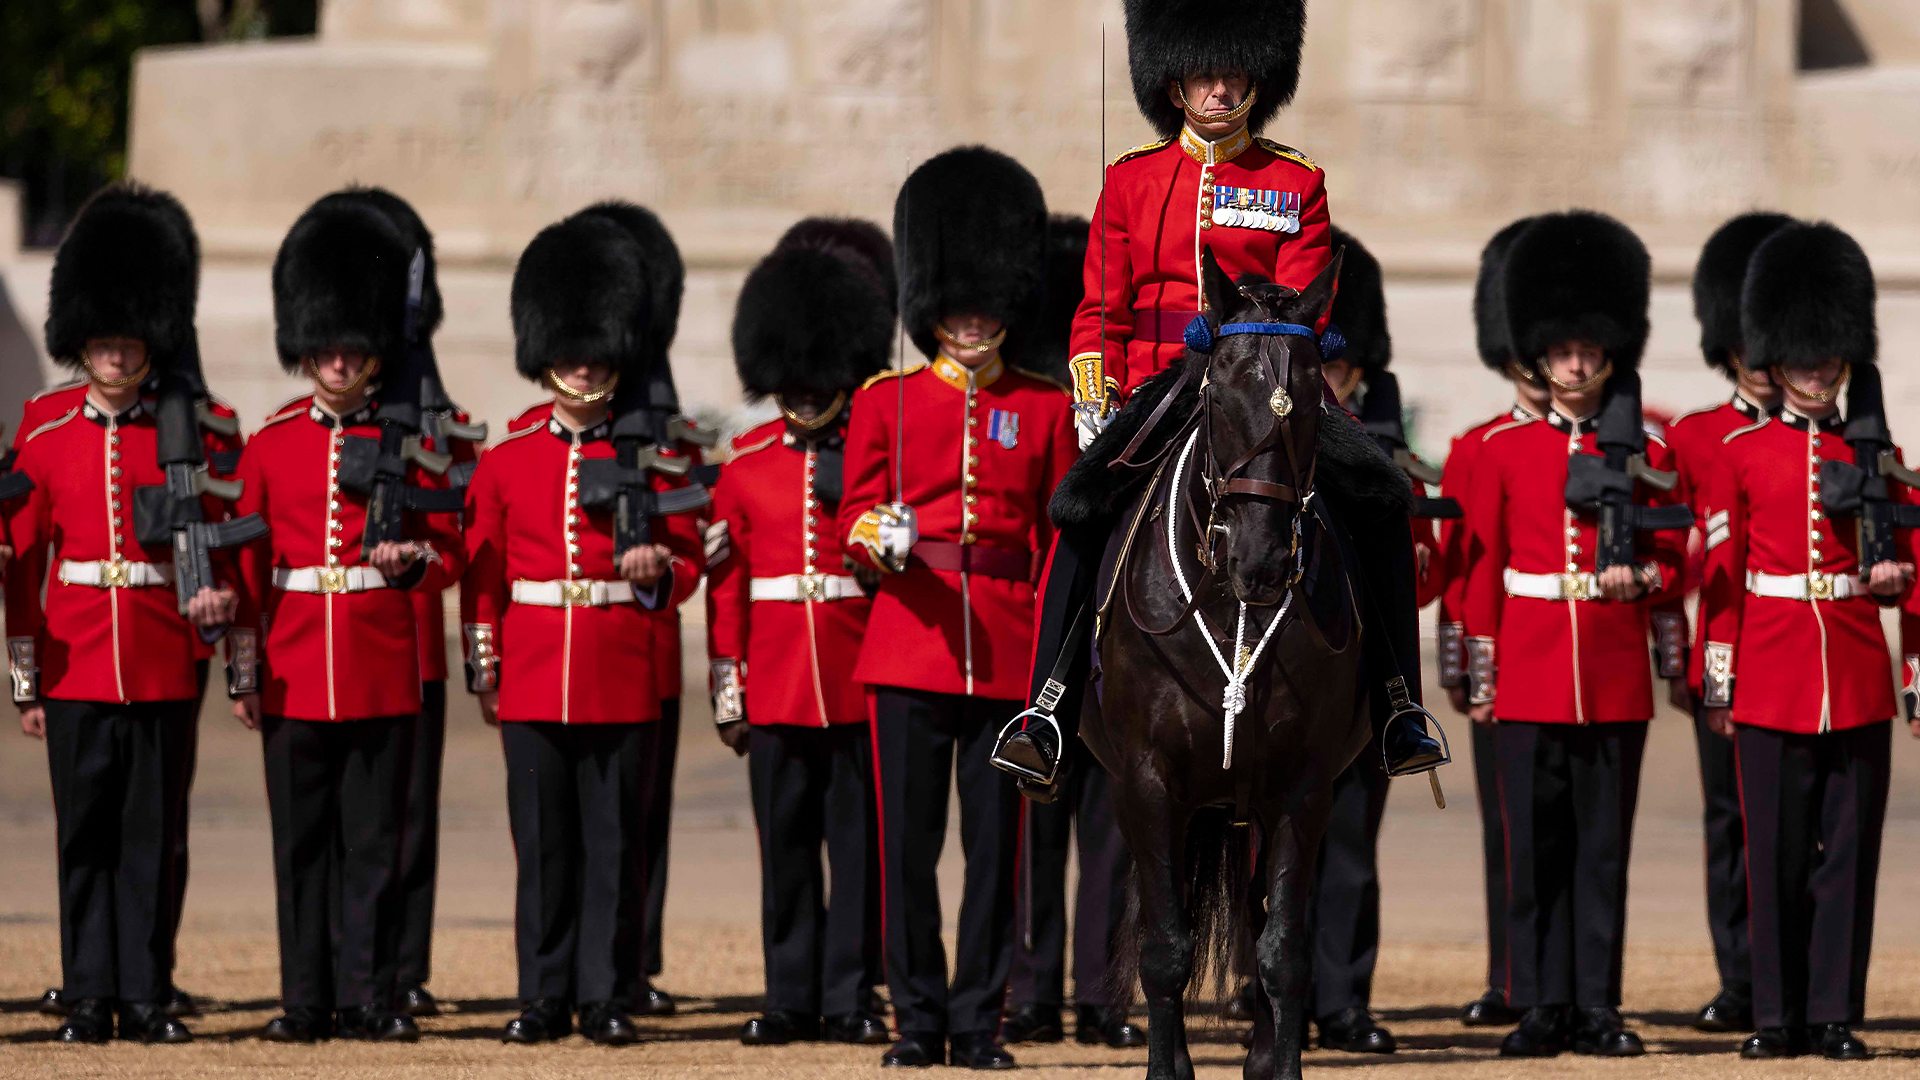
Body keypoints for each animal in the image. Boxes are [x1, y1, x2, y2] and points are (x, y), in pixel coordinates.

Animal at [1075, 251, 1390, 1076]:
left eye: (1311, 396)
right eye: (1216, 388)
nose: (1264, 559)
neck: (1230, 603)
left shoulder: (1304, 786)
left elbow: (1283, 952)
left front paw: (1278, 1064)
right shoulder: (1147, 781)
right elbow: (1165, 948)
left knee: (1259, 925)